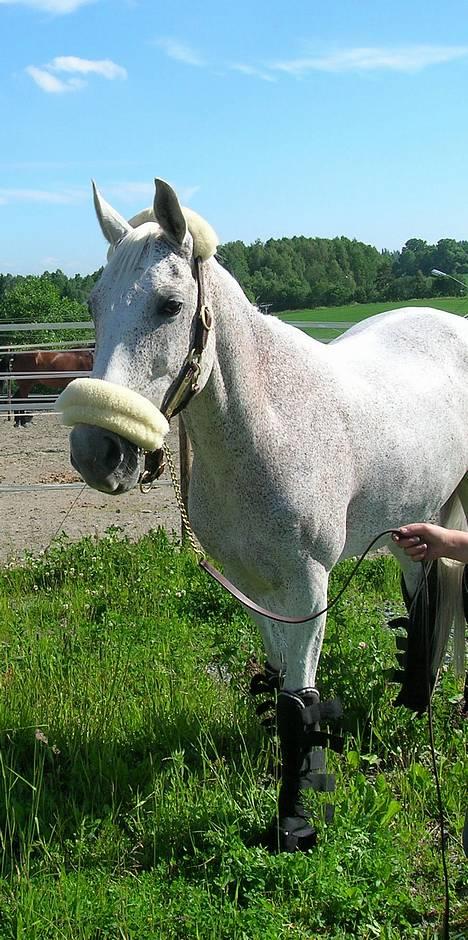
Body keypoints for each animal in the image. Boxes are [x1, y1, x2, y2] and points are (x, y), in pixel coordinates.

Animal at [60, 178, 468, 852]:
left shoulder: (306, 587)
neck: (268, 422)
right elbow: (280, 685)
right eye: (94, 305)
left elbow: (301, 702)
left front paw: (295, 821)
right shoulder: (253, 583)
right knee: (423, 597)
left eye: (170, 306)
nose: (98, 453)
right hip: (414, 520)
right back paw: (415, 699)